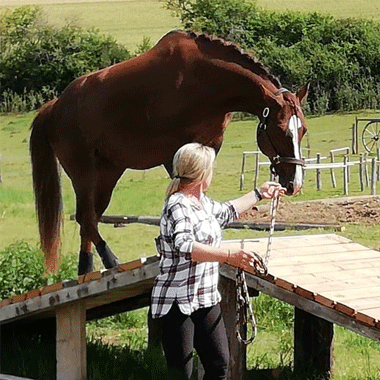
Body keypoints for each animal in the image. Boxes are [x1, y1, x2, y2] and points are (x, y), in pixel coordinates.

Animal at [29, 29, 308, 274]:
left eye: (302, 130)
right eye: (280, 130)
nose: (294, 183)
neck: (205, 80)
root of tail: (56, 106)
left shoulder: (208, 147)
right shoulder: (174, 154)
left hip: (108, 173)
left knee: (89, 219)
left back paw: (86, 269)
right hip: (83, 172)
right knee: (86, 217)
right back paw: (110, 261)